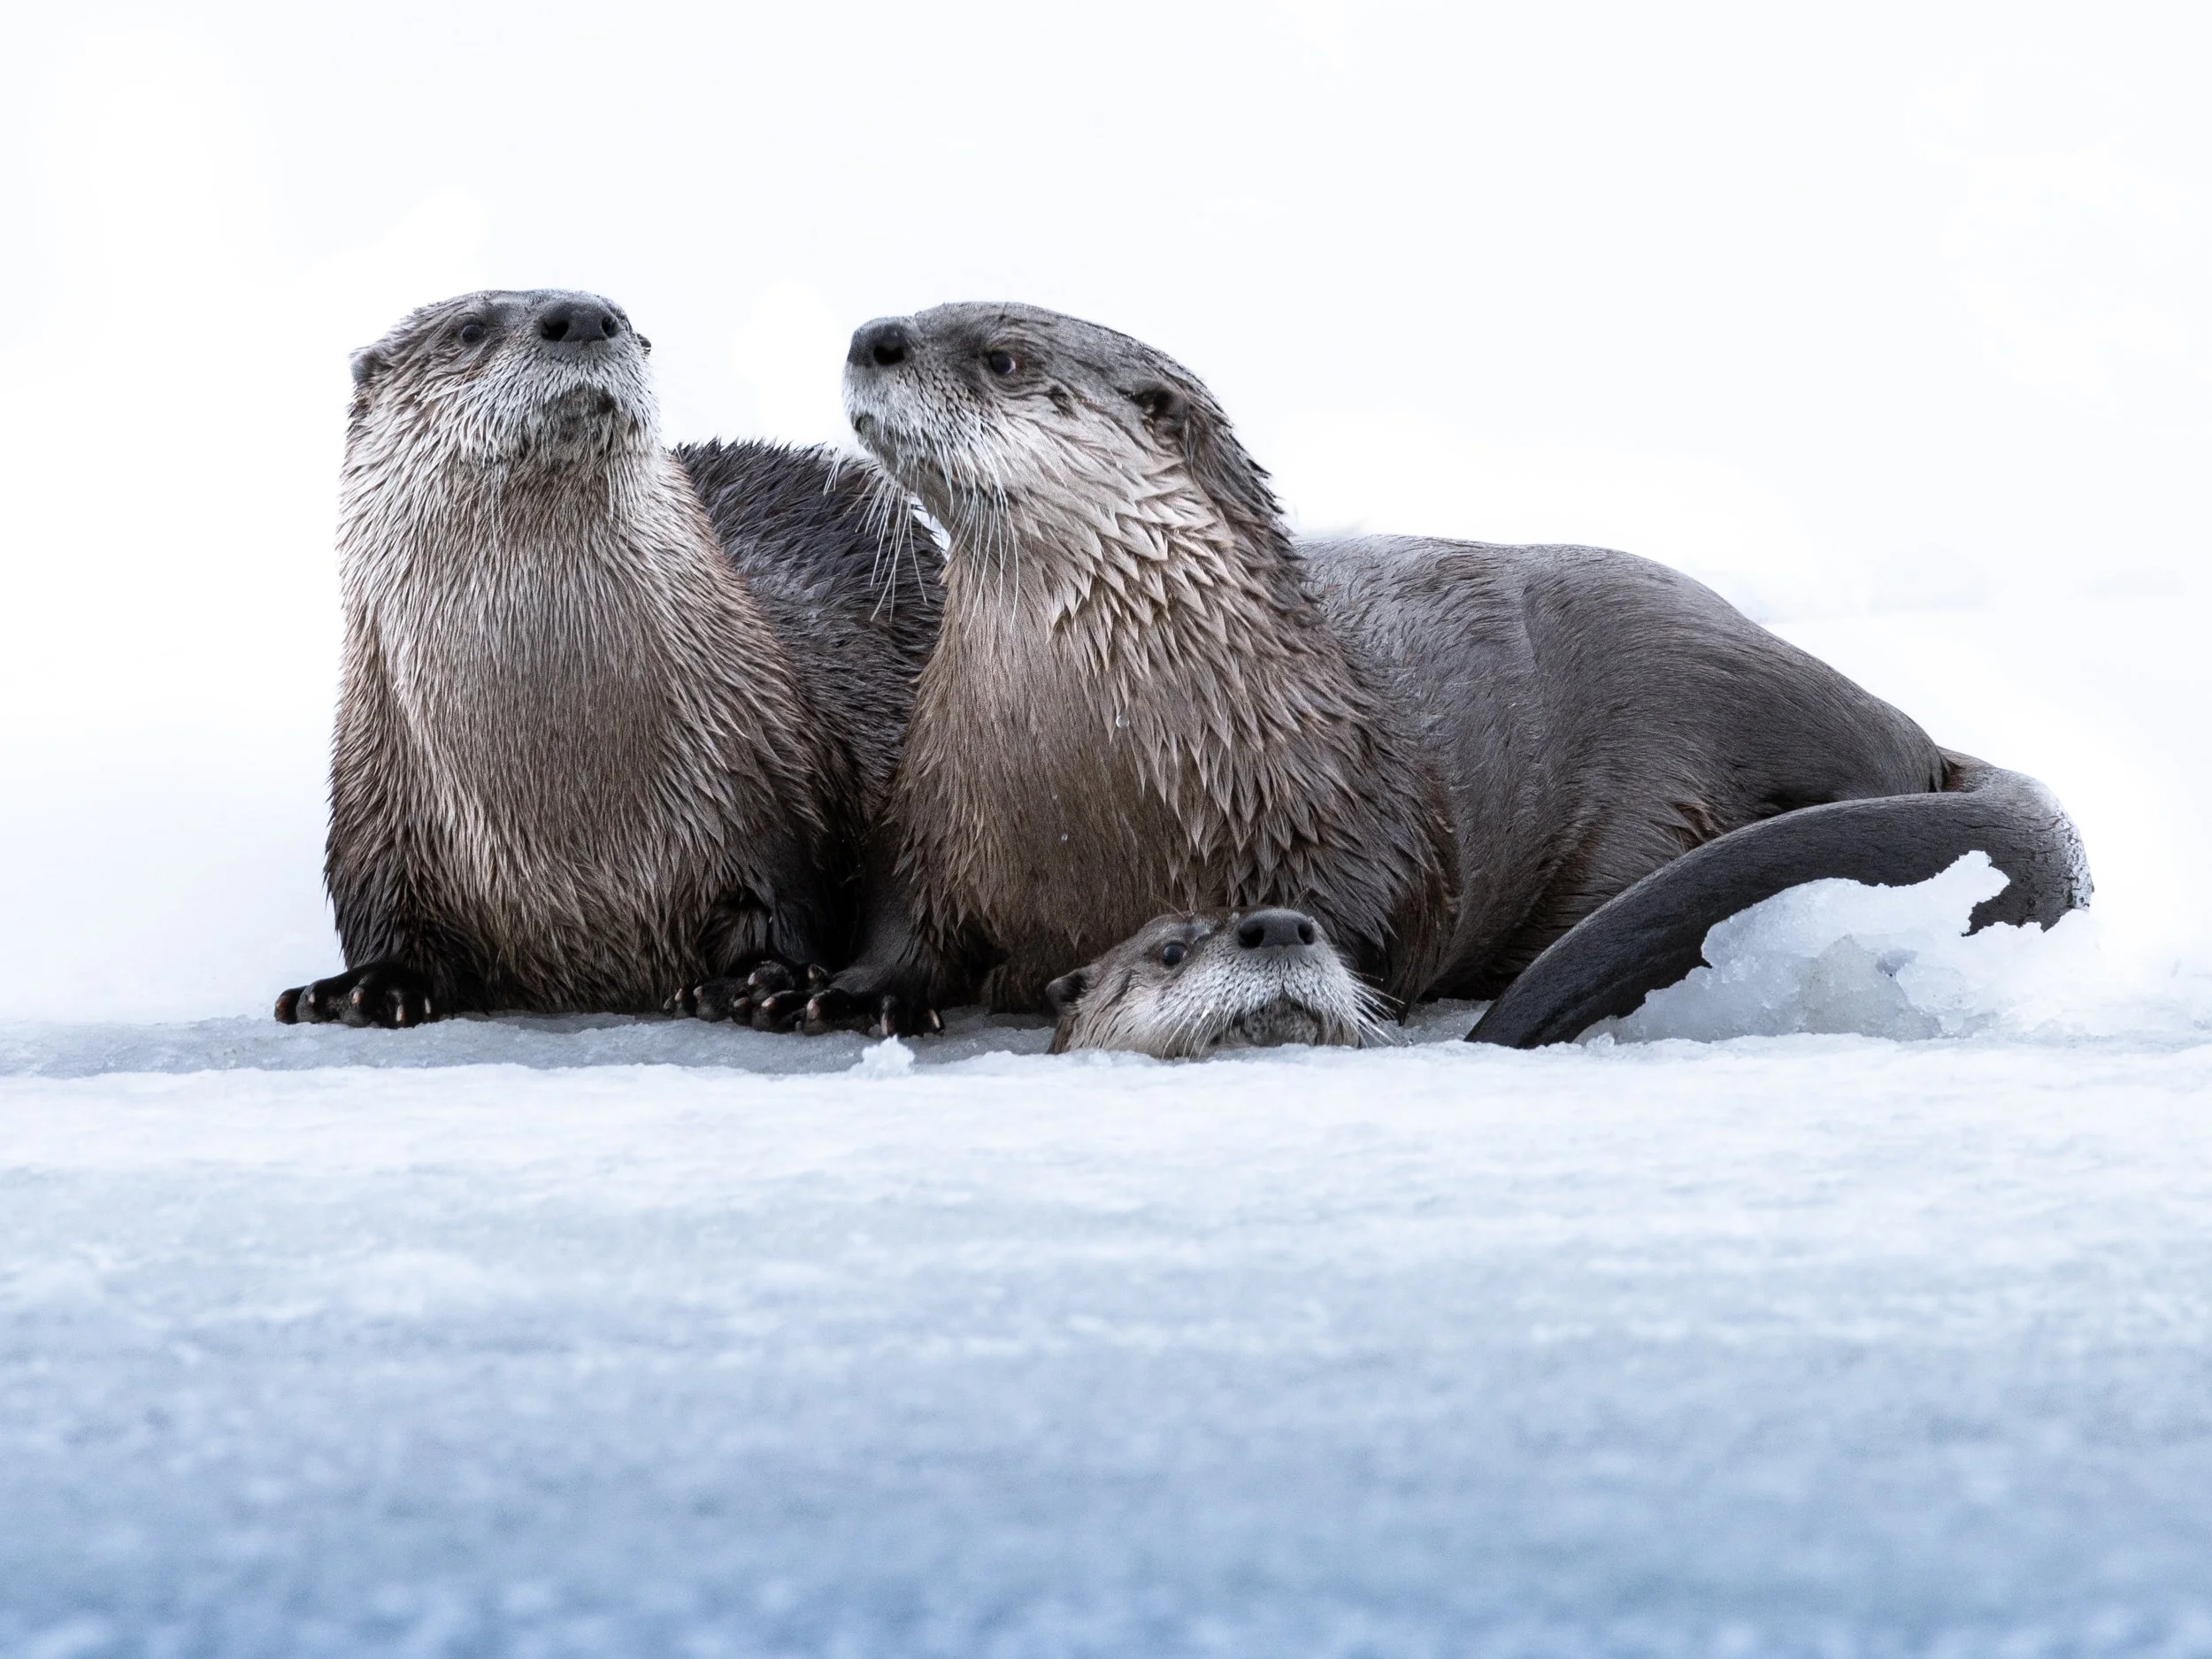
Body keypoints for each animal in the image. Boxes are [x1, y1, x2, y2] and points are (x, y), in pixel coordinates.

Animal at [274, 288, 940, 1028]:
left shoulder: (772, 788)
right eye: (469, 329)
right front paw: (365, 987)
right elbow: (387, 919)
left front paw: (755, 981)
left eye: (619, 315)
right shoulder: (377, 803)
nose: (584, 316)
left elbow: (783, 908)